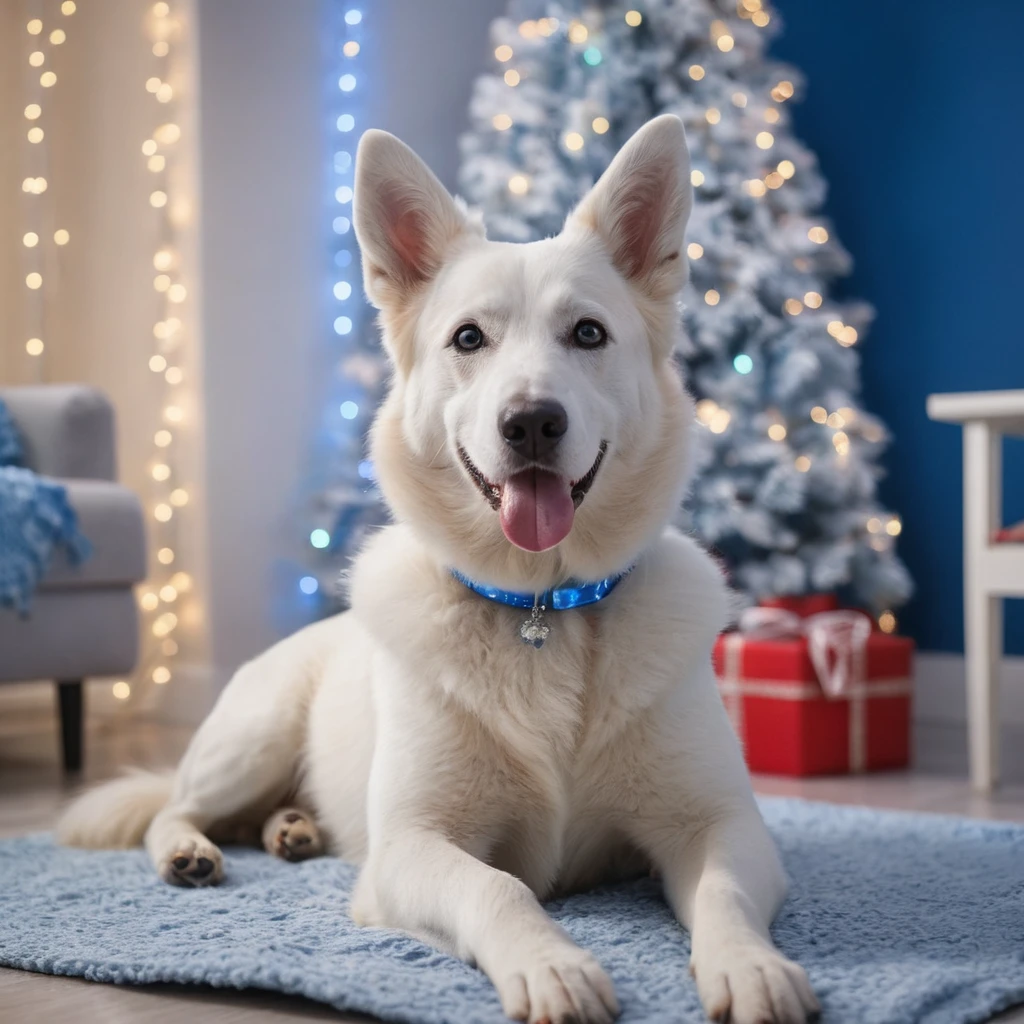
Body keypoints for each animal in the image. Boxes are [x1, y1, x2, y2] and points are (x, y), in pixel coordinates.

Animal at [61, 116, 815, 1019]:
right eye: (468, 339)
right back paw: (192, 851)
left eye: (588, 333)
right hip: (252, 736)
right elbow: (500, 887)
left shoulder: (722, 825)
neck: (542, 609)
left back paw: (292, 830)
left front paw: (751, 966)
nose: (531, 422)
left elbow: (724, 892)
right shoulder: (413, 848)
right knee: (172, 807)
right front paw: (552, 965)